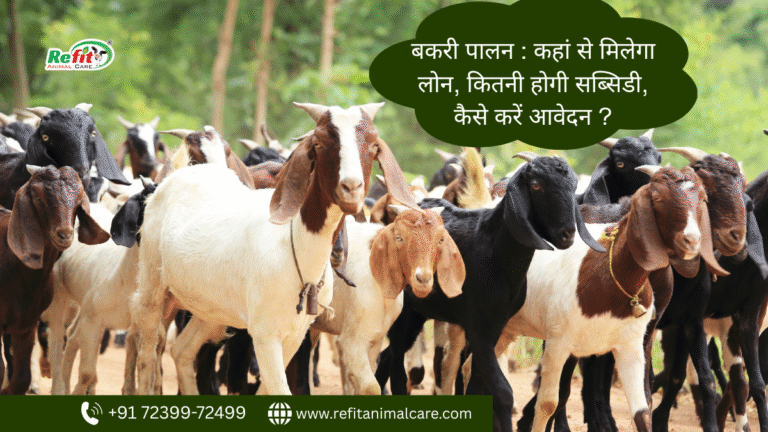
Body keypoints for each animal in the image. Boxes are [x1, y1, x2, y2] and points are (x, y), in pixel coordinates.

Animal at [130, 102, 418, 395]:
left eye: (373, 145)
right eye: (319, 142)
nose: (352, 188)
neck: (298, 250)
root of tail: (177, 176)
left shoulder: (295, 335)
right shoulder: (265, 335)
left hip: (211, 309)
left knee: (182, 351)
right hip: (153, 287)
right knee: (148, 349)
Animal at [376, 153, 604, 432]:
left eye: (573, 186)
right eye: (536, 185)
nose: (567, 234)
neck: (495, 253)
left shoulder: (496, 327)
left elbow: (478, 385)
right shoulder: (478, 329)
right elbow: (502, 391)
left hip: (419, 313)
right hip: (404, 313)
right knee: (397, 368)